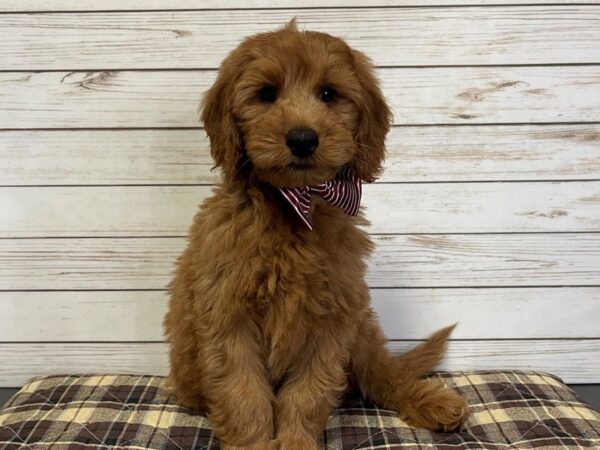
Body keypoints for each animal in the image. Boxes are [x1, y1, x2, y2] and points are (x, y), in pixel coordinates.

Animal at [164, 19, 468, 448]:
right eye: (267, 94)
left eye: (328, 94)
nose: (303, 139)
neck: (293, 208)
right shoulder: (228, 318)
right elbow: (243, 397)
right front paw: (254, 443)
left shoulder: (331, 321)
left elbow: (307, 394)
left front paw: (295, 441)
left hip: (361, 330)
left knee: (382, 376)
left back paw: (433, 403)